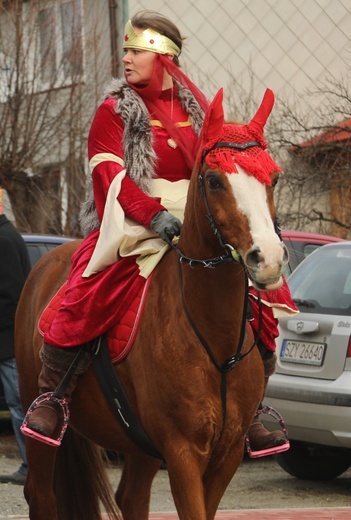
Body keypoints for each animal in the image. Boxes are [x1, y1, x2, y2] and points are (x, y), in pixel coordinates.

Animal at [15, 87, 288, 516]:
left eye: (273, 178)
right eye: (213, 180)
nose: (269, 259)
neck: (212, 337)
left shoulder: (225, 455)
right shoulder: (182, 452)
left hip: (139, 444)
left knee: (131, 497)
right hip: (38, 420)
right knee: (42, 495)